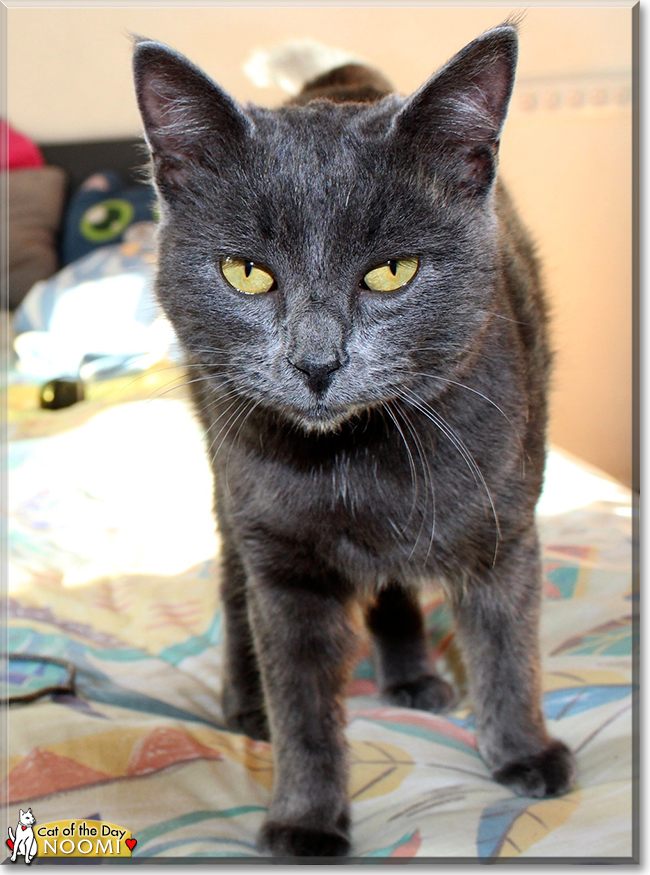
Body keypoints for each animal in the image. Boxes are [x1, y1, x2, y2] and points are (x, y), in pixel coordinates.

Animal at [130, 24, 572, 860]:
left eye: (392, 271)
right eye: (246, 273)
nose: (315, 362)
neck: (356, 459)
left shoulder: (503, 522)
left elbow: (509, 644)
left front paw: (524, 750)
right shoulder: (282, 560)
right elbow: (302, 700)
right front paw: (305, 818)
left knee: (396, 581)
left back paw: (410, 675)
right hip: (225, 467)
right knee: (234, 584)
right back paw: (246, 701)